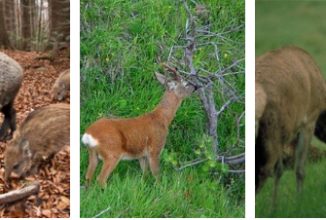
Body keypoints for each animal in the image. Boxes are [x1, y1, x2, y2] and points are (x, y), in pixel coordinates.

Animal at [255, 45, 326, 208]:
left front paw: (273, 207)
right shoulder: (308, 120)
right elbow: (300, 170)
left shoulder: (286, 133)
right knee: (261, 173)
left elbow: (280, 170)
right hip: (269, 139)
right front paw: (298, 204)